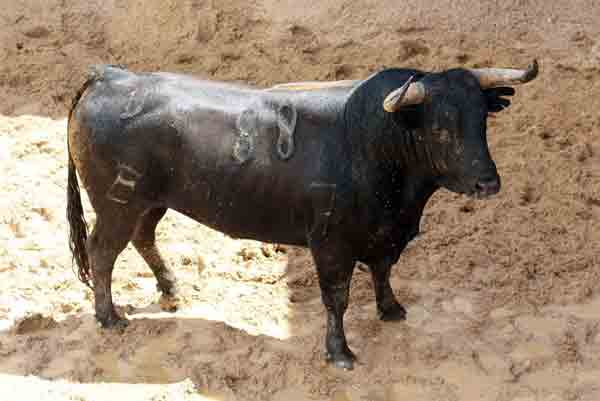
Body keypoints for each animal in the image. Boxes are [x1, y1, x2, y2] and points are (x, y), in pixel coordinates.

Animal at [67, 61, 540, 368]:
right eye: (439, 128)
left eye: (482, 121)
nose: (488, 183)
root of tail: (110, 75)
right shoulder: (330, 243)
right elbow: (338, 297)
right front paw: (340, 353)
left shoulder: (385, 233)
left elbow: (383, 270)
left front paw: (391, 310)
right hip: (117, 203)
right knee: (103, 251)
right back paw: (110, 317)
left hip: (150, 202)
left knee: (142, 238)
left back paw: (172, 291)